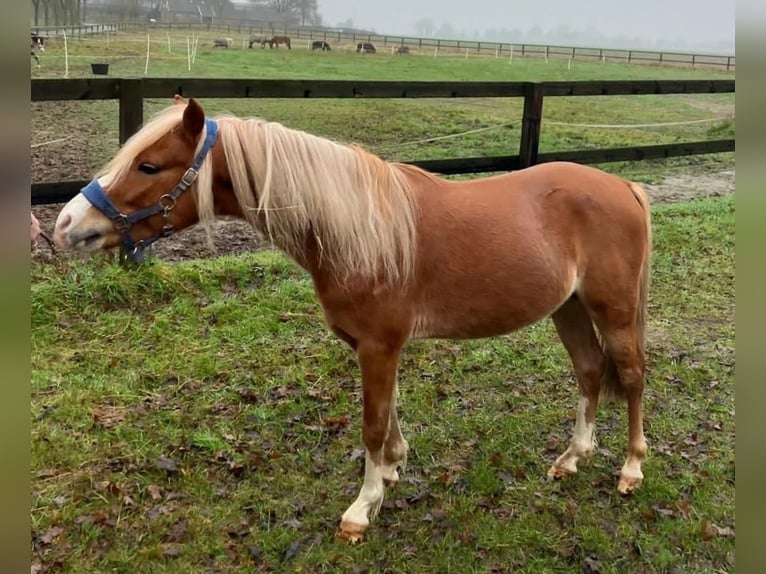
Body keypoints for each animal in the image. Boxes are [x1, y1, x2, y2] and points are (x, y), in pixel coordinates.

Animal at [54, 97, 656, 544]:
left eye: (149, 166)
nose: (66, 225)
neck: (355, 229)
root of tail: (623, 186)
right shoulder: (371, 347)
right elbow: (387, 415)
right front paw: (391, 469)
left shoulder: (379, 346)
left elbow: (370, 422)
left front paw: (363, 508)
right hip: (568, 308)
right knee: (589, 370)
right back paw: (571, 459)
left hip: (613, 309)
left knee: (629, 375)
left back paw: (631, 471)